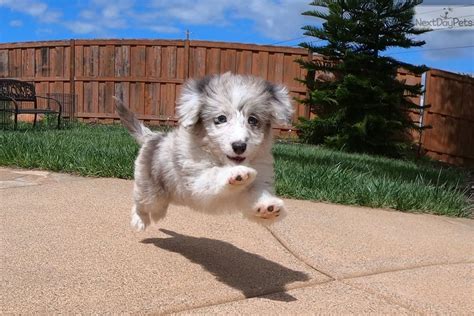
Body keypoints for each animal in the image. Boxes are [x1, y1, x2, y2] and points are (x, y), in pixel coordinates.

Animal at [115, 71, 292, 231]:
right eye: (221, 118)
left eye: (253, 120)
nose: (239, 146)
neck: (220, 159)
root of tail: (153, 137)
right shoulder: (196, 180)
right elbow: (213, 174)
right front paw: (237, 173)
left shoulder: (253, 184)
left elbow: (255, 195)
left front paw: (268, 207)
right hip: (152, 194)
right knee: (141, 203)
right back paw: (139, 221)